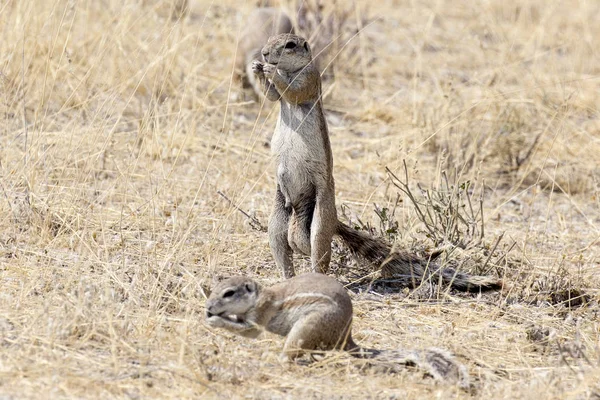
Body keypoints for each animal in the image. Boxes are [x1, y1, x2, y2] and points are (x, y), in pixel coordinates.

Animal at [204, 274, 472, 386]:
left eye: (229, 293)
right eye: (215, 289)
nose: (208, 307)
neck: (258, 296)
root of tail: (345, 337)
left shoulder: (259, 316)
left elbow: (251, 332)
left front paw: (214, 321)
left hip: (305, 328)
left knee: (289, 356)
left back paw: (274, 358)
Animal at [251, 33, 500, 290]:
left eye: (290, 45)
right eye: (271, 39)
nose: (264, 53)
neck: (290, 70)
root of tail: (334, 220)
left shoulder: (310, 79)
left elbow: (294, 91)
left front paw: (270, 70)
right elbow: (273, 96)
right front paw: (257, 69)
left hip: (320, 217)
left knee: (316, 252)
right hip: (277, 217)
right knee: (285, 249)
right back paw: (284, 280)